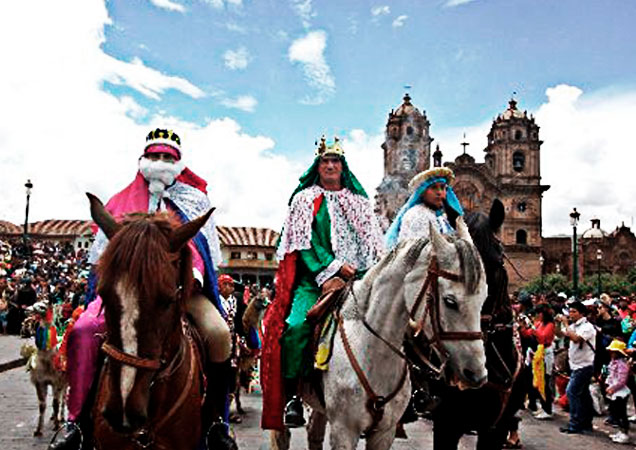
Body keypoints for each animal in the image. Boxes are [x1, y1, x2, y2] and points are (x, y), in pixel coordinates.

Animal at [272, 221, 486, 450]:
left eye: (483, 299)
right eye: (450, 301)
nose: (478, 375)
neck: (372, 352)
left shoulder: (385, 432)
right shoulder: (343, 431)